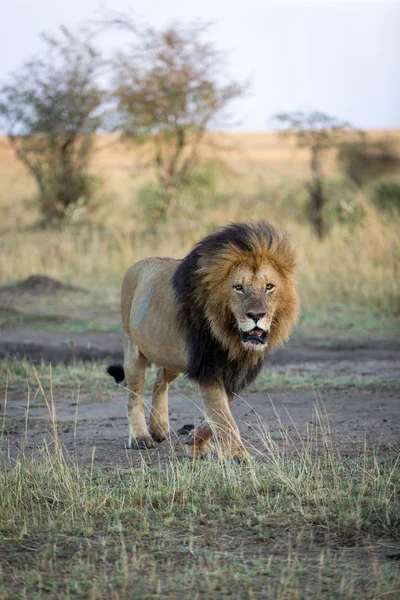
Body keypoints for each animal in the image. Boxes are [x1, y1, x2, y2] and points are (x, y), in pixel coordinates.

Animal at [108, 220, 298, 460]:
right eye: (238, 287)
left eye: (269, 287)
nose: (256, 315)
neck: (231, 339)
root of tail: (137, 264)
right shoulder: (208, 367)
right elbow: (222, 416)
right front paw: (237, 455)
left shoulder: (233, 372)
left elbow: (216, 414)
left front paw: (195, 443)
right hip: (133, 350)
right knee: (134, 394)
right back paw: (141, 437)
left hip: (172, 357)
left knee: (159, 381)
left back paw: (159, 428)